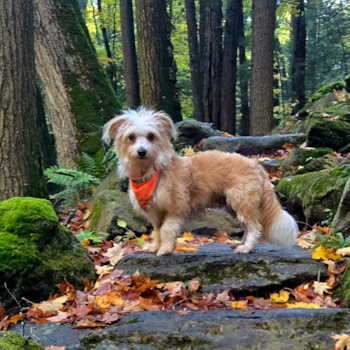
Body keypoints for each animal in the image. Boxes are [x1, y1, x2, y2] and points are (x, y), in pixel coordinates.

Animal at [103, 108, 298, 256]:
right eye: (131, 137)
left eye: (151, 136)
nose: (142, 152)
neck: (152, 170)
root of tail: (256, 165)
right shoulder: (155, 213)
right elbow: (157, 231)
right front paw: (155, 246)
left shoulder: (175, 208)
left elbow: (166, 230)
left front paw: (165, 249)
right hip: (233, 205)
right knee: (247, 225)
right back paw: (240, 243)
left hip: (242, 200)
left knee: (254, 226)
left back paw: (246, 247)